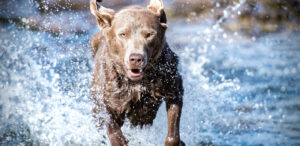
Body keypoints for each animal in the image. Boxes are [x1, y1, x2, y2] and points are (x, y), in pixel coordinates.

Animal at [89, 0, 184, 145]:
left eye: (149, 34)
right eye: (123, 34)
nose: (136, 58)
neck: (138, 83)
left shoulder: (173, 87)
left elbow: (173, 132)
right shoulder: (108, 96)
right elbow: (110, 123)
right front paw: (119, 139)